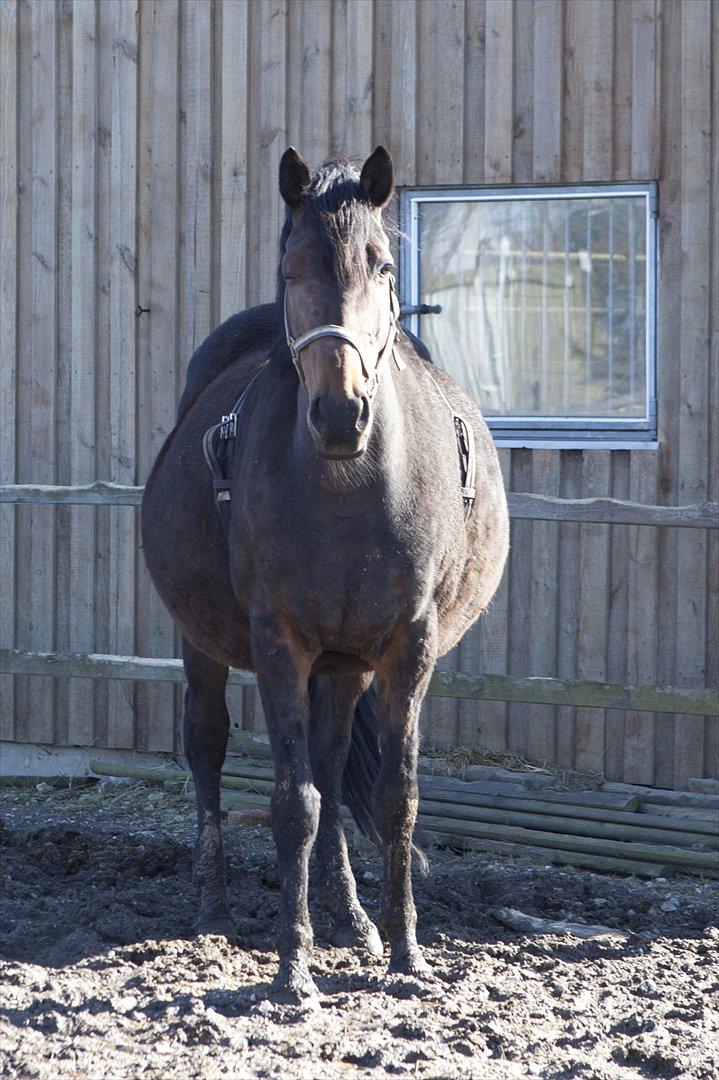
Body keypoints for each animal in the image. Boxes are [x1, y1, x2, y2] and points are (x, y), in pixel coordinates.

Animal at [140, 145, 507, 1002]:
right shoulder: (279, 642)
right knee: (207, 747)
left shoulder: (406, 648)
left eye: (382, 265)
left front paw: (406, 954)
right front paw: (291, 966)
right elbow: (293, 802)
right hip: (207, 645)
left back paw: (354, 919)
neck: (348, 487)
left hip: (344, 666)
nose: (340, 413)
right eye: (291, 268)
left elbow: (392, 797)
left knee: (338, 768)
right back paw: (212, 905)